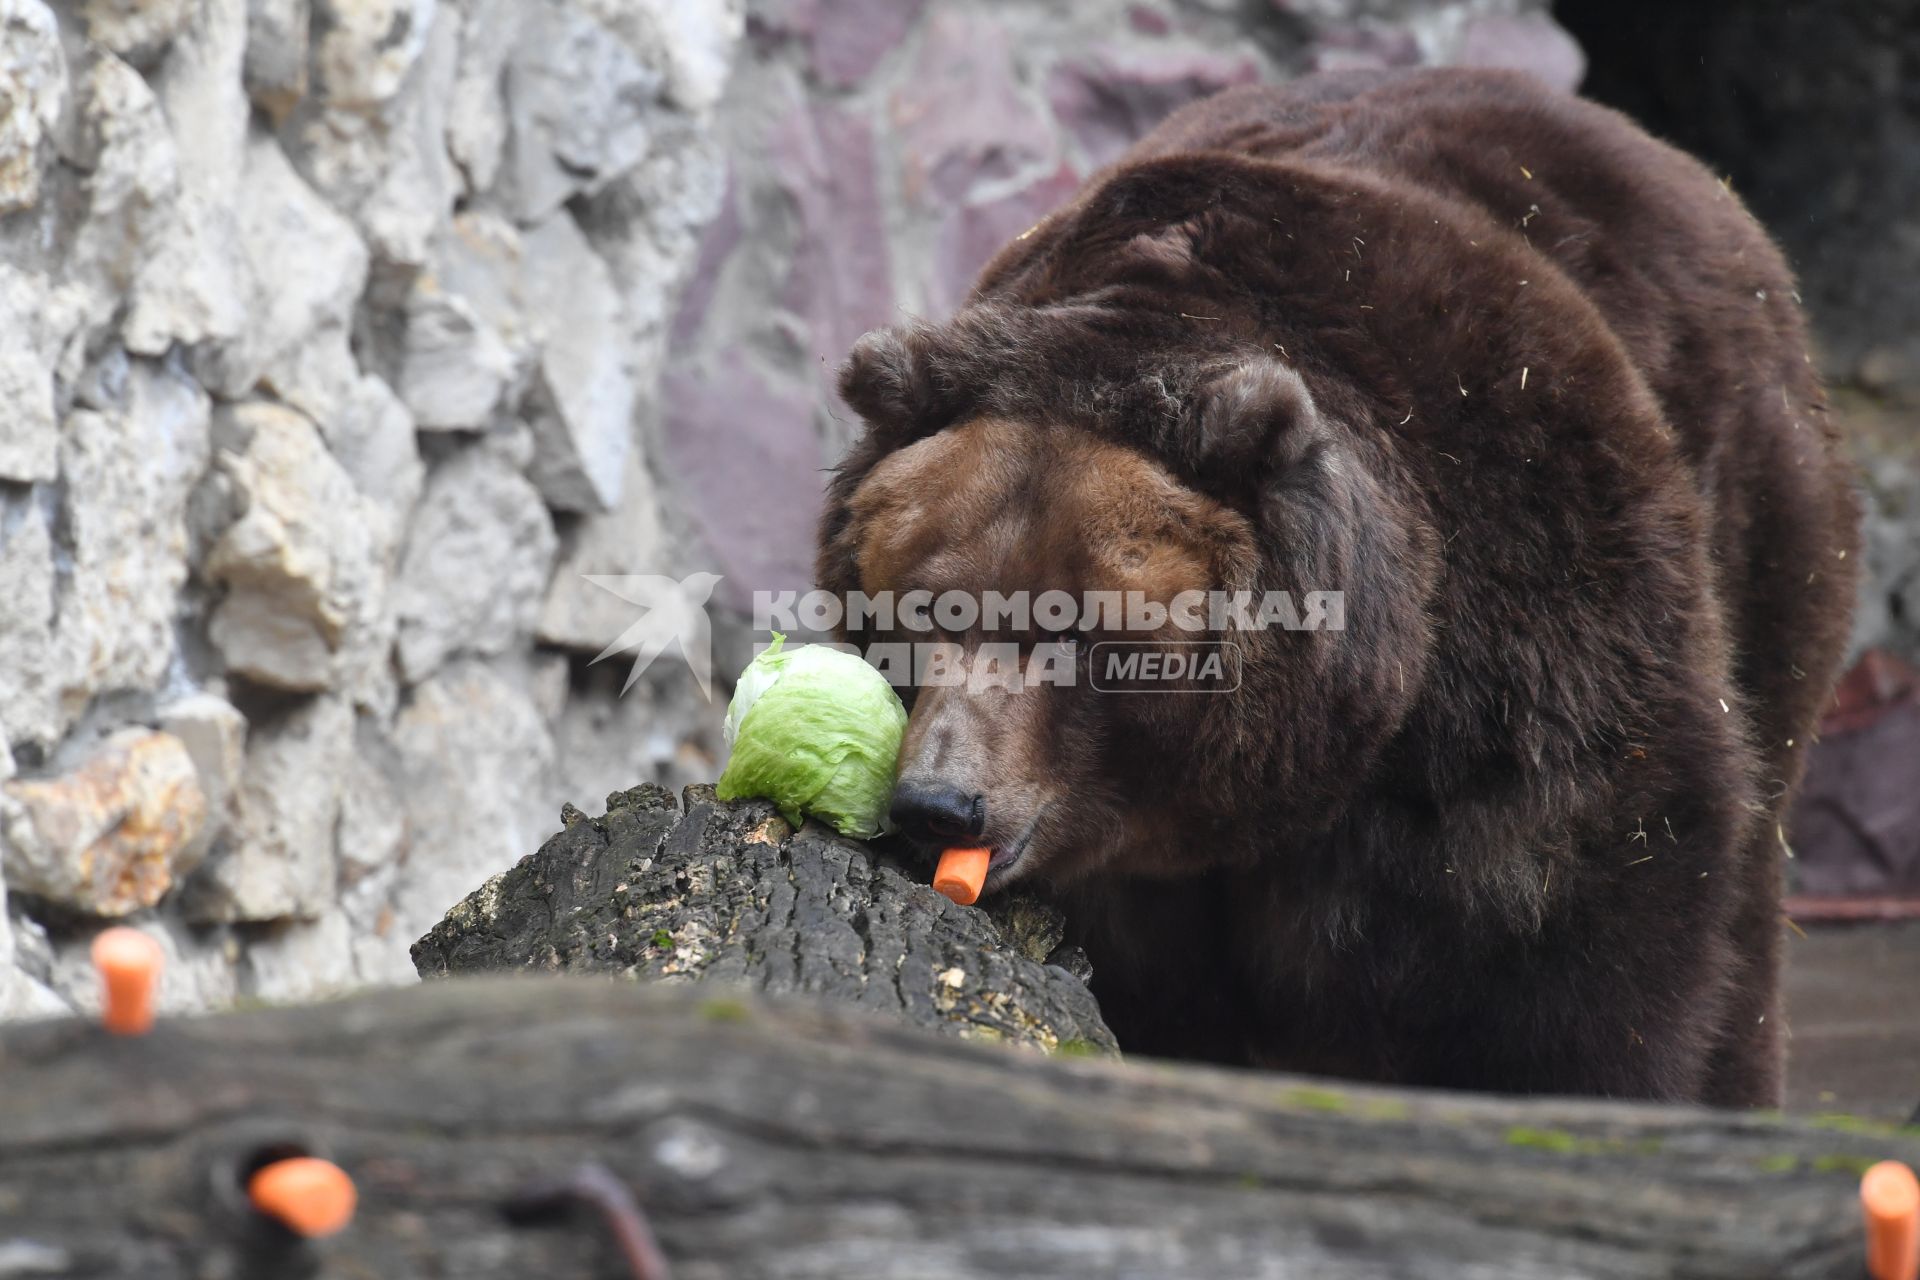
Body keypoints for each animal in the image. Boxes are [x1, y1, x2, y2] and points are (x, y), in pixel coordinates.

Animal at [814, 70, 1858, 1105]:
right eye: (924, 609)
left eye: (1078, 633)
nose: (940, 805)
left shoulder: (1525, 635)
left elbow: (1577, 960)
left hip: (1763, 523)